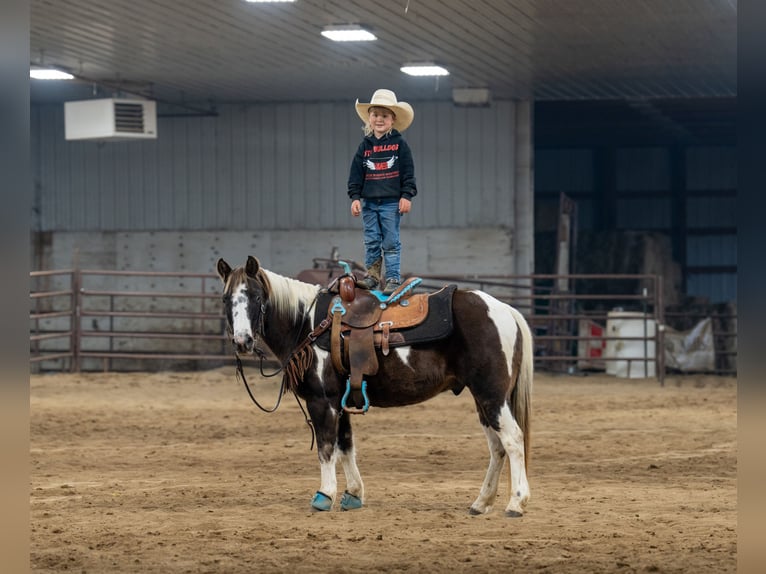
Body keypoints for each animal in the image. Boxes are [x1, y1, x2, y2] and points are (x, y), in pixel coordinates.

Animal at [216, 256, 536, 516]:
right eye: (226, 299)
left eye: (256, 296)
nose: (242, 341)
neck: (306, 325)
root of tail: (504, 309)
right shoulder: (340, 402)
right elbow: (346, 445)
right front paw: (353, 494)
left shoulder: (322, 401)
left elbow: (326, 447)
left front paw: (324, 496)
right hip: (483, 400)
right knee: (497, 447)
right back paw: (481, 503)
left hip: (492, 396)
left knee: (512, 440)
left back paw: (516, 503)